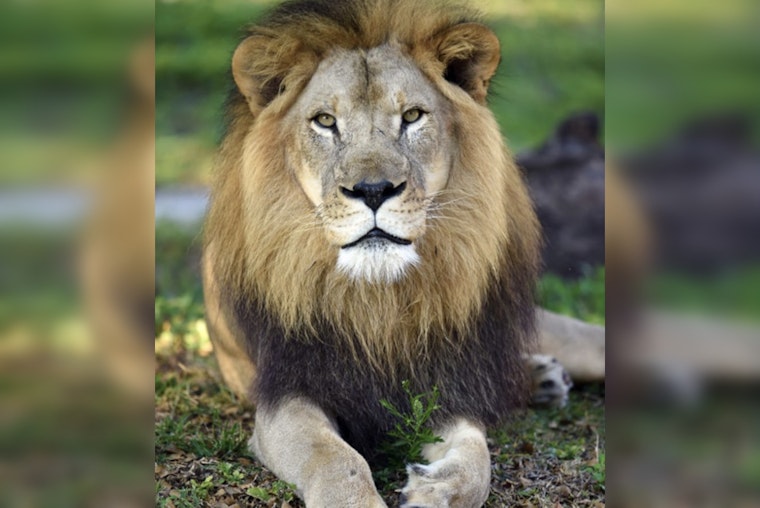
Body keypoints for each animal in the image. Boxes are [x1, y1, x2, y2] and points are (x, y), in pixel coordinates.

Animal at [202, 0, 599, 506]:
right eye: (325, 121)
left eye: (412, 116)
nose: (373, 190)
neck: (379, 301)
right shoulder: (287, 396)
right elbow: (336, 460)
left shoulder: (441, 386)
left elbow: (476, 458)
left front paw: (437, 490)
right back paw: (542, 379)